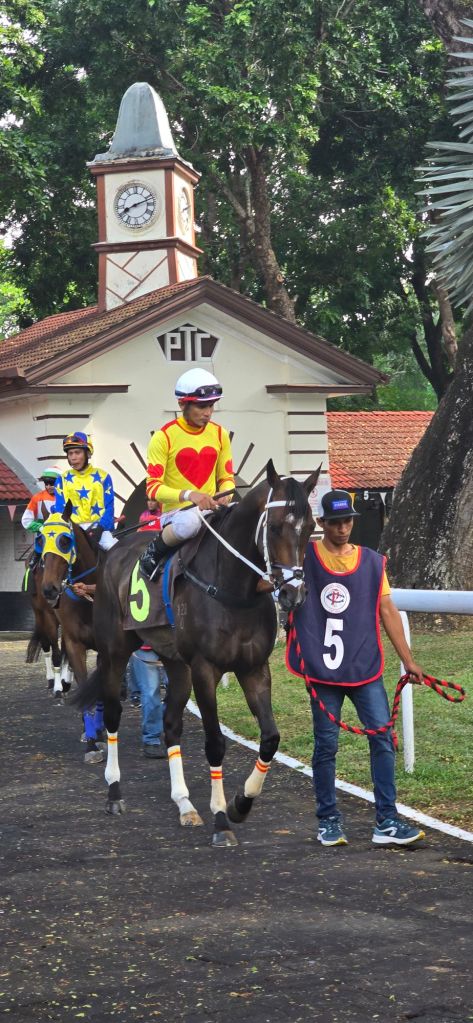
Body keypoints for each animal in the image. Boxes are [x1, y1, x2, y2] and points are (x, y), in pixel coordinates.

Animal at [40, 505, 106, 763]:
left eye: (65, 541)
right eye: (40, 539)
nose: (49, 589)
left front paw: (100, 732)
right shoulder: (74, 642)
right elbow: (84, 685)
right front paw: (92, 743)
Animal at [74, 461, 320, 847]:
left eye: (310, 527)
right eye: (275, 527)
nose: (293, 593)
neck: (233, 589)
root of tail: (114, 549)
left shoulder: (254, 668)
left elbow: (270, 738)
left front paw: (240, 804)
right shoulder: (206, 669)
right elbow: (215, 743)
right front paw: (221, 819)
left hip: (176, 665)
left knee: (171, 724)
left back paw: (185, 804)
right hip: (115, 651)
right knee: (112, 714)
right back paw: (114, 793)